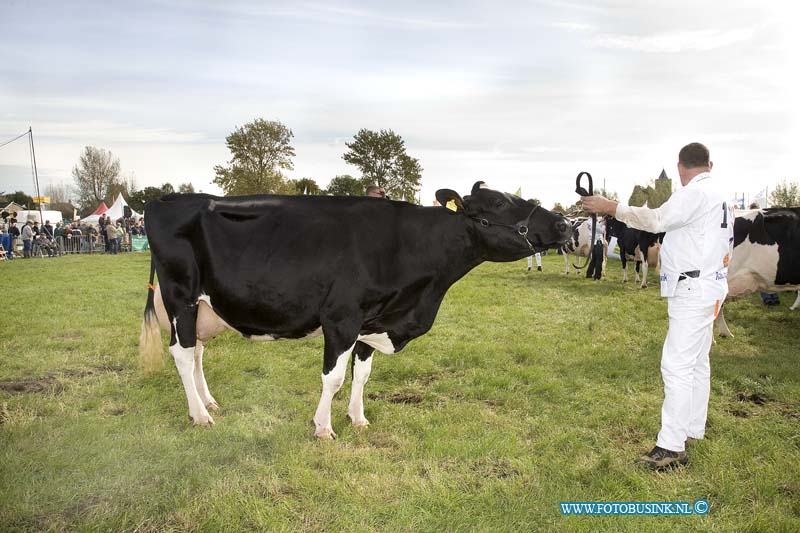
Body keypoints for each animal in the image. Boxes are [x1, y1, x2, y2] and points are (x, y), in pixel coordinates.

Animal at [141, 182, 572, 436]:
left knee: (197, 350)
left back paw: (209, 401)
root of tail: (165, 199)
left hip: (203, 306)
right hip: (180, 295)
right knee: (182, 353)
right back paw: (200, 415)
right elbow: (333, 378)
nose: (565, 224)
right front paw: (323, 428)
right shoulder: (341, 318)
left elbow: (361, 375)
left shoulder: (373, 320)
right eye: (498, 201)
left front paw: (358, 418)